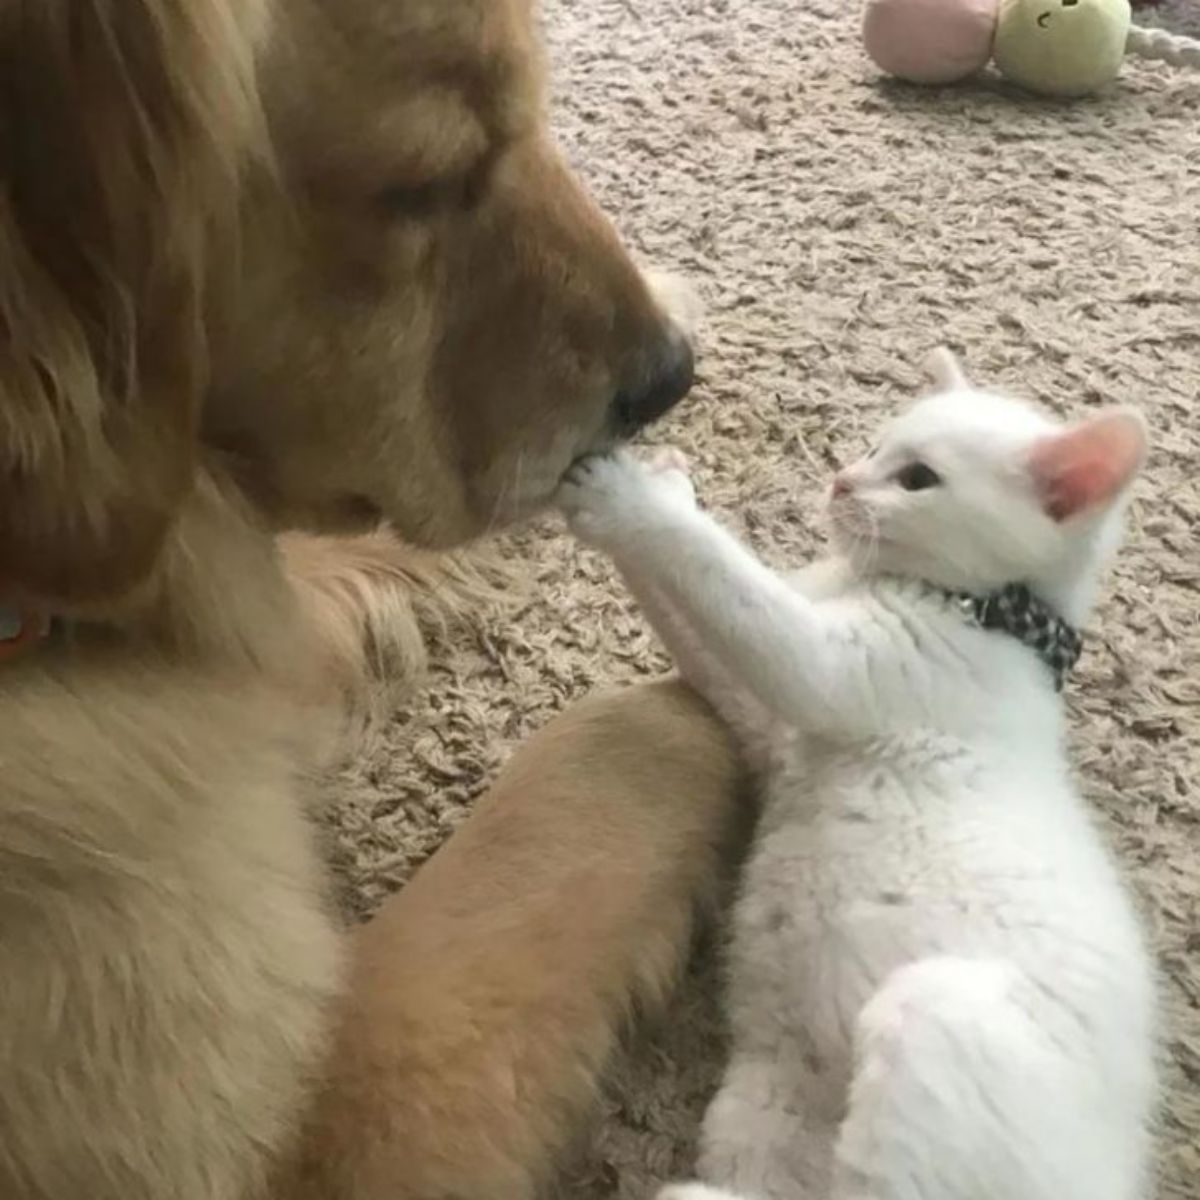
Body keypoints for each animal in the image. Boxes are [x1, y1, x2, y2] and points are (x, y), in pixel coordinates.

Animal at [556, 352, 1156, 1200]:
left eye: (917, 479)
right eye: (876, 445)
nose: (842, 480)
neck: (990, 617)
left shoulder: (830, 669)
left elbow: (722, 574)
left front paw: (626, 495)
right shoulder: (763, 724)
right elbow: (695, 620)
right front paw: (662, 479)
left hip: (930, 1012)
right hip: (763, 1112)